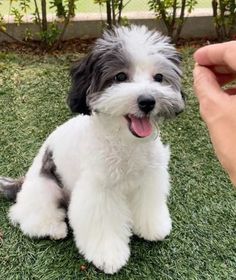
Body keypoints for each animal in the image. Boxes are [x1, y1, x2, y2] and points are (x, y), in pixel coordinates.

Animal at [0, 24, 184, 274]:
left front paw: (152, 227)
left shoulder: (149, 179)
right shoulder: (99, 191)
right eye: (120, 76)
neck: (125, 142)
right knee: (26, 216)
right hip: (45, 187)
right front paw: (109, 255)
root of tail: (22, 183)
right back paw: (55, 228)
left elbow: (148, 204)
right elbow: (103, 223)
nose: (147, 101)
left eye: (159, 77)